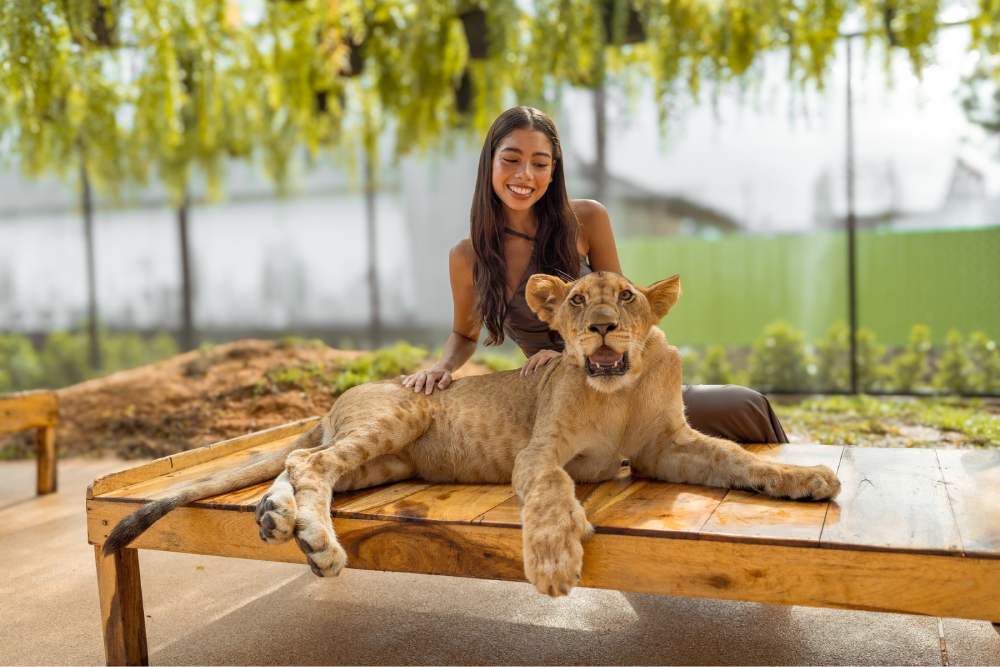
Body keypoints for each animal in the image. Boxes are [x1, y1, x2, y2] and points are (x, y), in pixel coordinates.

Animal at [103, 271, 840, 597]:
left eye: (627, 296)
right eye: (578, 299)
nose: (602, 325)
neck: (618, 388)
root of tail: (342, 395)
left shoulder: (669, 447)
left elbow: (738, 456)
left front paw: (807, 478)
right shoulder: (540, 451)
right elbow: (552, 490)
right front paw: (554, 558)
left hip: (389, 465)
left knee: (305, 463)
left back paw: (280, 520)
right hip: (401, 416)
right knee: (310, 462)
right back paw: (318, 543)